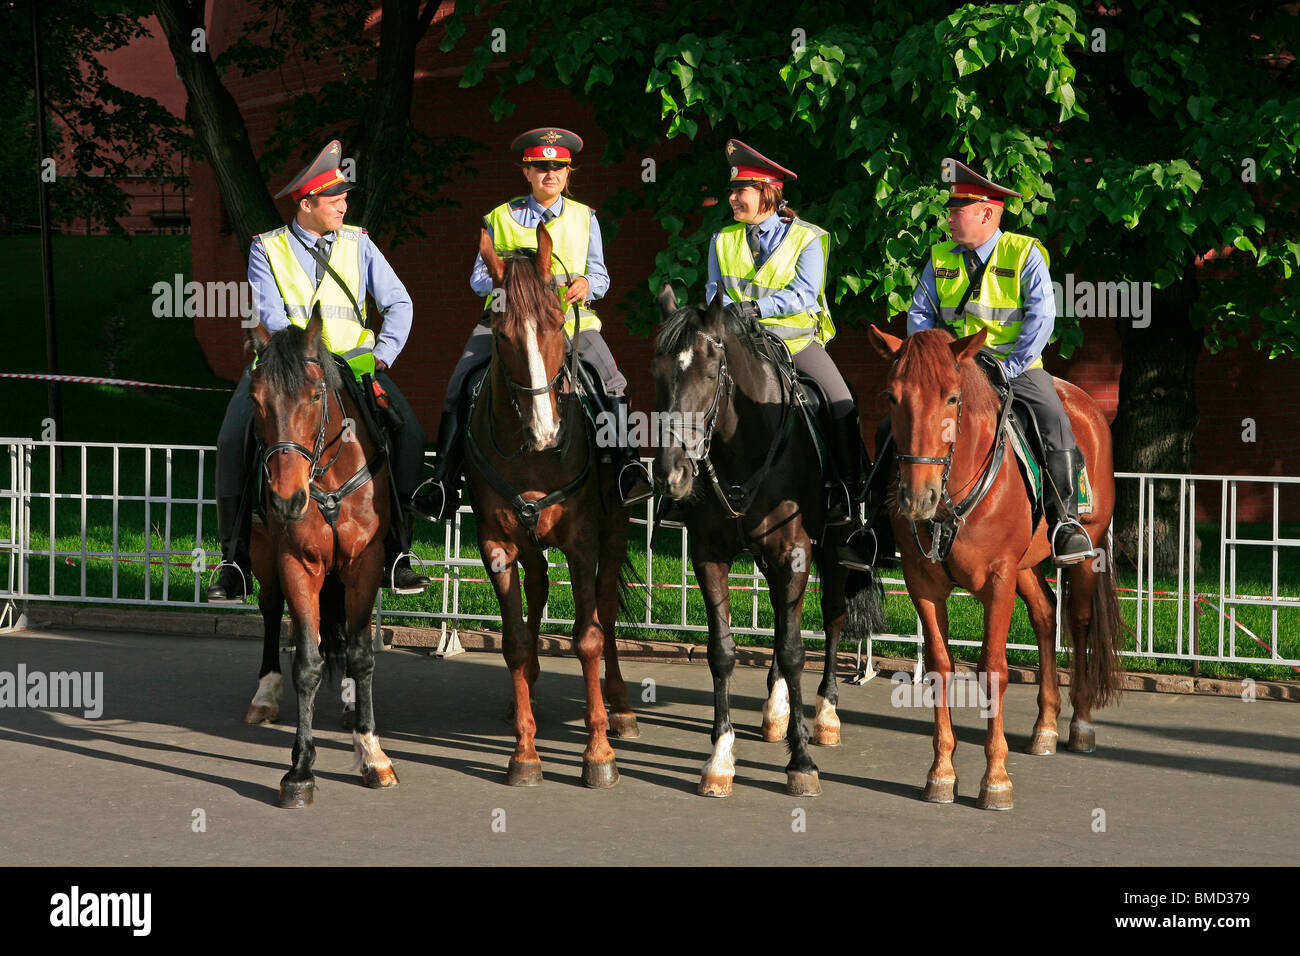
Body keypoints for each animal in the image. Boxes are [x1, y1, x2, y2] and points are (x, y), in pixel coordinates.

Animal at [243, 314, 395, 806]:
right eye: (256, 400)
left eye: (314, 395)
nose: (287, 499)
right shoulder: (297, 562)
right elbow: (306, 664)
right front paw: (300, 770)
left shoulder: (365, 564)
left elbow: (362, 654)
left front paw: (371, 753)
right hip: (264, 556)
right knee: (272, 611)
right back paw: (265, 695)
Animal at [467, 223, 639, 790]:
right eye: (500, 333)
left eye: (558, 322)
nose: (546, 431)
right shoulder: (496, 543)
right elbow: (515, 642)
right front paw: (525, 752)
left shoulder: (583, 541)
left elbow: (587, 637)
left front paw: (599, 751)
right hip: (529, 541)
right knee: (539, 587)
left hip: (615, 532)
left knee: (605, 612)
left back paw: (621, 706)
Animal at [650, 291, 883, 801]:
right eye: (658, 371)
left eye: (711, 371)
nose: (671, 474)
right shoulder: (710, 556)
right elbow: (723, 651)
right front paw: (720, 758)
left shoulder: (794, 554)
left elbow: (796, 650)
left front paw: (802, 761)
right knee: (779, 622)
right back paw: (775, 709)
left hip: (832, 553)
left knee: (831, 621)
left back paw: (826, 714)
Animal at [873, 325, 1128, 811]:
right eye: (892, 397)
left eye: (952, 398)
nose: (917, 497)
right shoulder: (922, 582)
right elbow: (940, 666)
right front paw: (941, 772)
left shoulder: (998, 577)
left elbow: (993, 668)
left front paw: (995, 779)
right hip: (1026, 567)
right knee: (1046, 614)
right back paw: (1045, 726)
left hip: (1083, 555)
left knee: (1079, 621)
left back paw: (1080, 724)